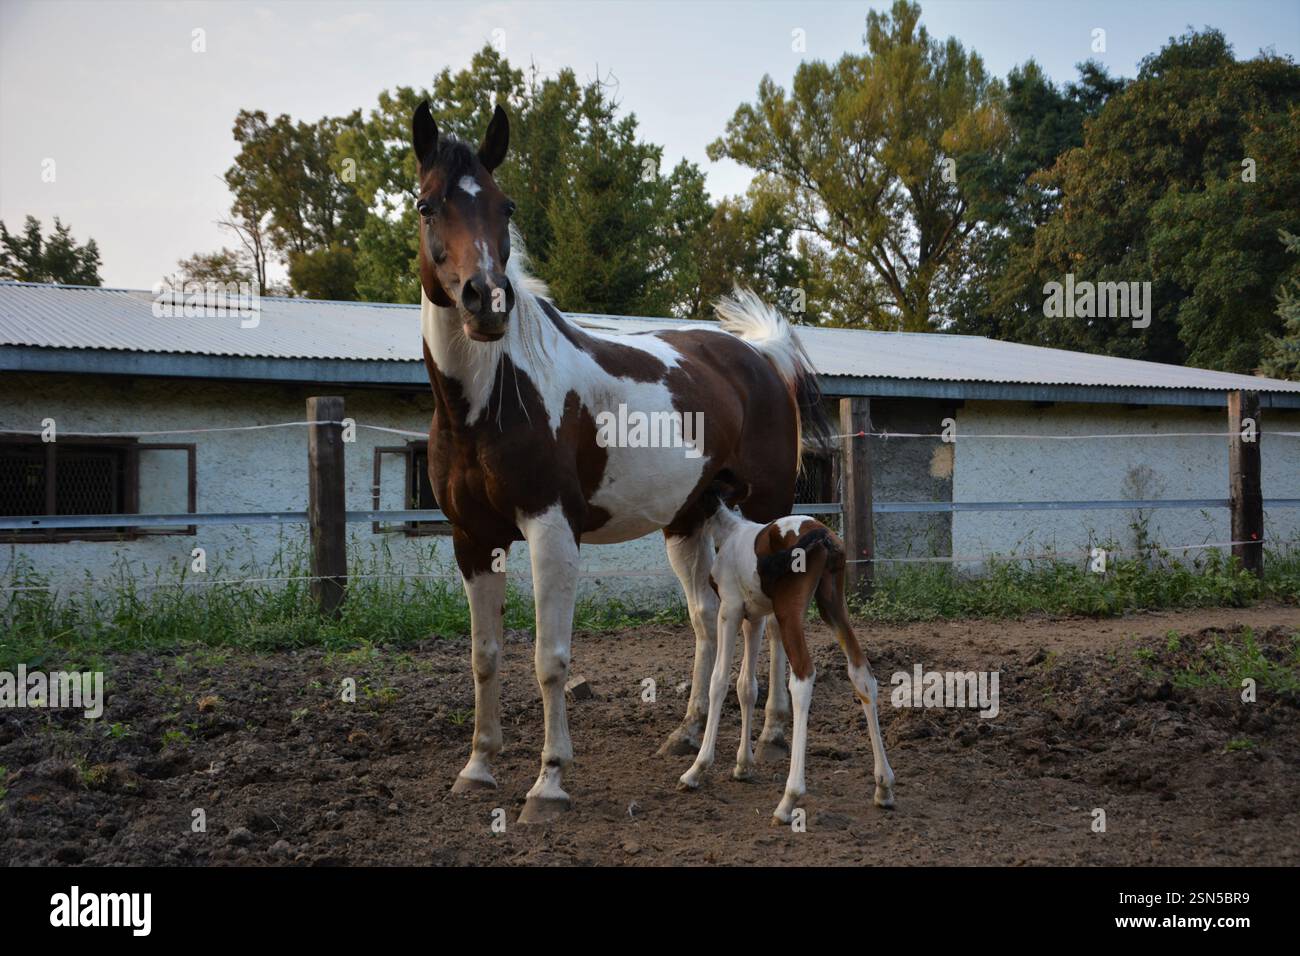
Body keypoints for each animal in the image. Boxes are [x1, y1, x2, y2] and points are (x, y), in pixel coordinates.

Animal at [411, 100, 832, 822]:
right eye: (426, 204)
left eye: (504, 205)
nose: (485, 301)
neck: (493, 398)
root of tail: (763, 358)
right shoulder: (472, 540)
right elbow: (485, 656)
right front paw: (478, 767)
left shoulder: (551, 532)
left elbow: (550, 659)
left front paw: (549, 782)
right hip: (689, 523)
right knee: (704, 620)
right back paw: (688, 733)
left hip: (767, 514)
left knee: (774, 625)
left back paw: (773, 731)